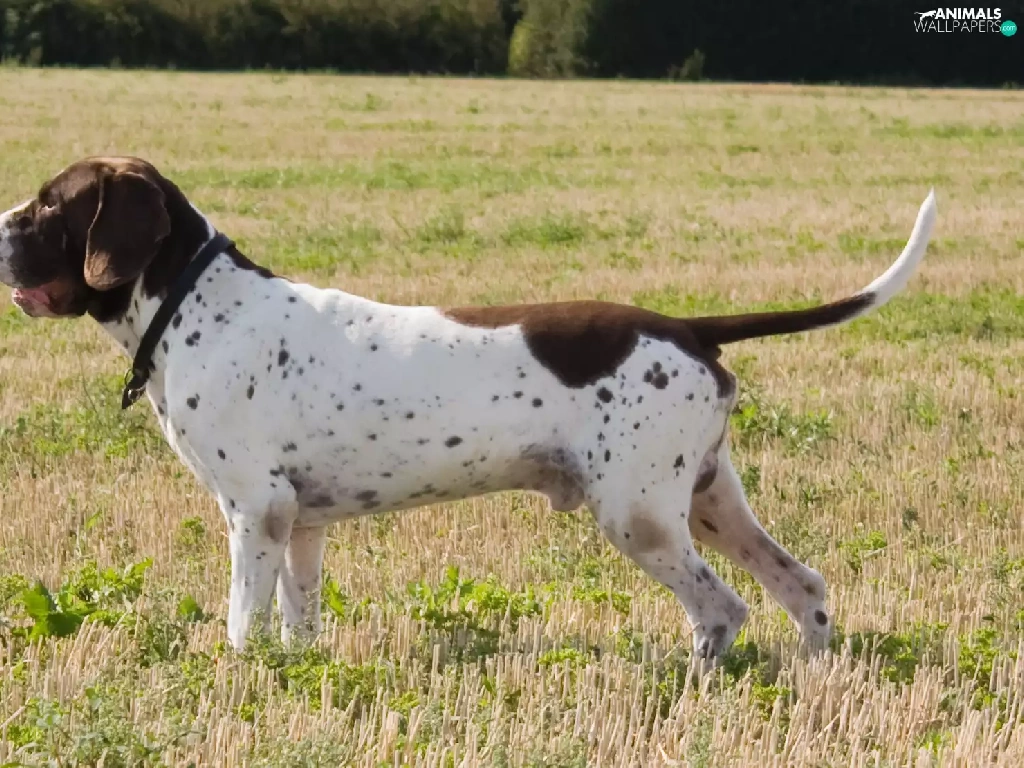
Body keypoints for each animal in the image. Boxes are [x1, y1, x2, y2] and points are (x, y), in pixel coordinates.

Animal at [0, 156, 936, 658]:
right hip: (708, 502)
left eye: (50, 203)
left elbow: (241, 627)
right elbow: (299, 626)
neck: (198, 303)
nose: (0, 224)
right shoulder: (300, 523)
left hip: (639, 515)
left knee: (723, 608)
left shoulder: (254, 512)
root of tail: (683, 326)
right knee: (802, 585)